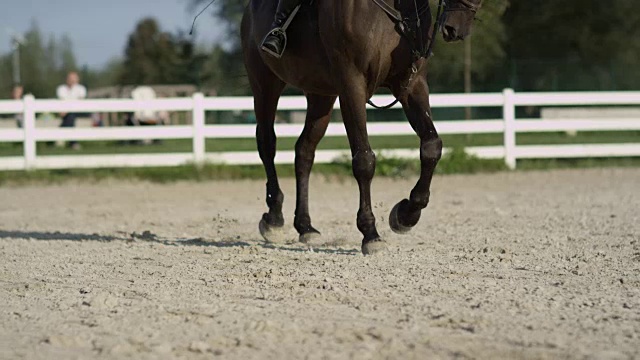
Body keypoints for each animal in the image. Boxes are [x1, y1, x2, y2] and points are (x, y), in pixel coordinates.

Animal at [242, 0, 482, 255]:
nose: (455, 28)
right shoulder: (352, 87)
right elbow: (364, 160)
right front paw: (370, 234)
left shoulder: (411, 85)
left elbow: (431, 147)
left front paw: (406, 215)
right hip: (265, 84)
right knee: (267, 144)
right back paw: (274, 219)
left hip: (321, 96)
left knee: (304, 151)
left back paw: (305, 227)